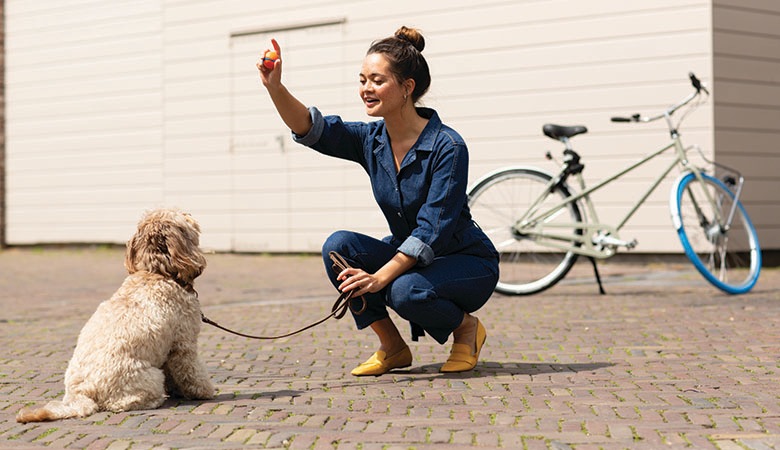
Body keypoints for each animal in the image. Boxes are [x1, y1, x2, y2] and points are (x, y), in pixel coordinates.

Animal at [16, 209, 215, 424]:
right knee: (123, 402)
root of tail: (81, 394)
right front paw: (203, 392)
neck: (158, 273)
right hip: (150, 377)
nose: (191, 216)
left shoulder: (168, 350)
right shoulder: (184, 344)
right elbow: (192, 372)